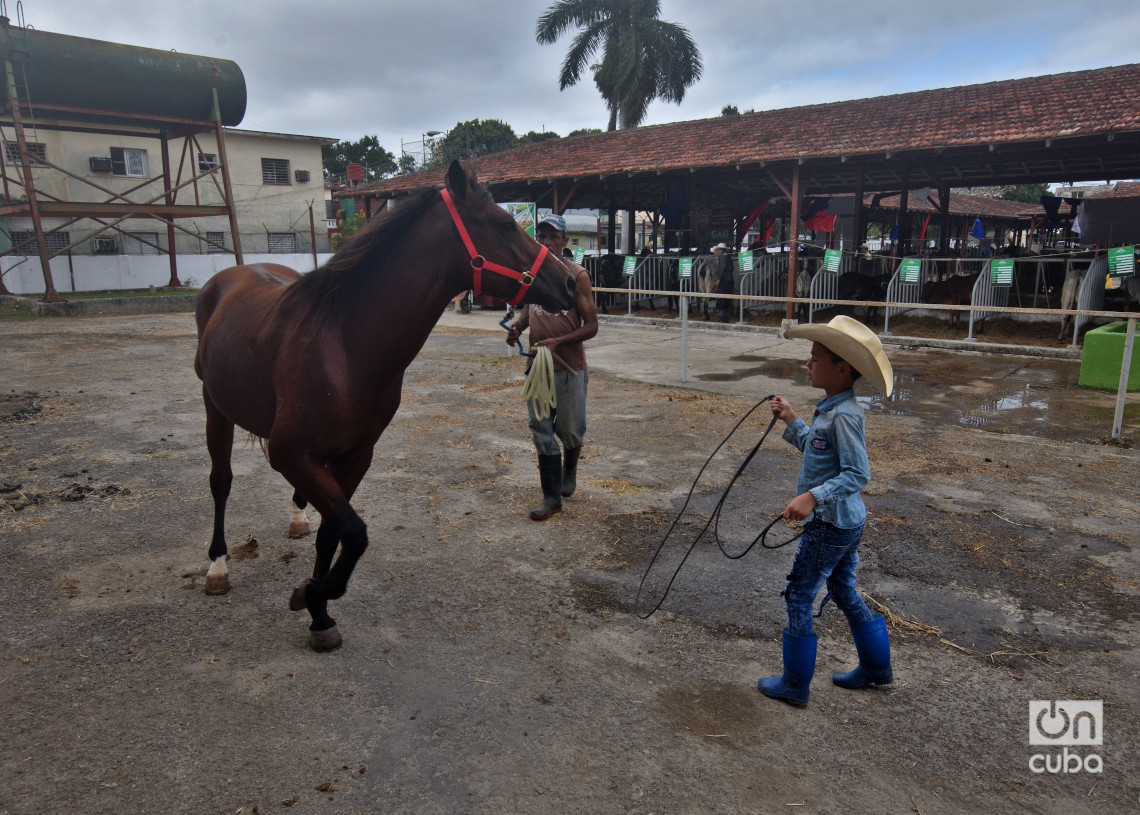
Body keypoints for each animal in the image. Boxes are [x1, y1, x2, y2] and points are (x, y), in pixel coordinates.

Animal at [194, 163, 579, 652]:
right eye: (506, 225)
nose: (570, 282)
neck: (342, 343)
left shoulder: (355, 455)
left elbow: (334, 533)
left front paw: (318, 608)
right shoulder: (289, 452)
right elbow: (355, 533)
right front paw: (310, 595)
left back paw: (296, 520)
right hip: (215, 408)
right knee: (220, 482)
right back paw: (217, 567)